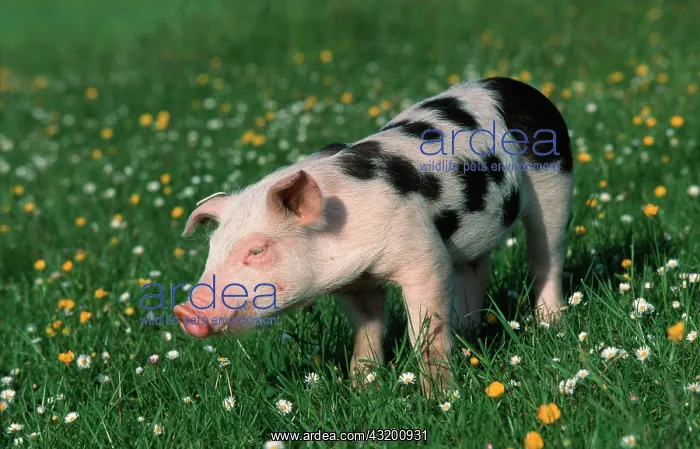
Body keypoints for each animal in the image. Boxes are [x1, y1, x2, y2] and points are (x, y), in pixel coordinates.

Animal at [173, 76, 573, 395]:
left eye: (256, 251)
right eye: (212, 249)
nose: (185, 310)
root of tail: (514, 86)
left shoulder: (423, 256)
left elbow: (425, 332)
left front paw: (440, 398)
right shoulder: (357, 284)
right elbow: (366, 333)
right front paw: (362, 388)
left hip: (554, 184)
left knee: (546, 257)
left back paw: (550, 324)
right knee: (476, 268)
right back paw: (468, 335)